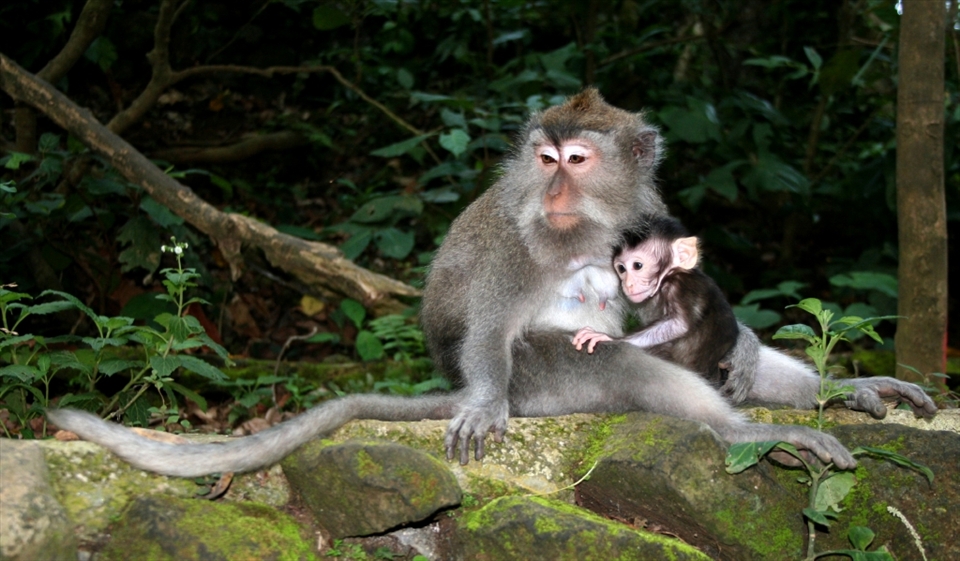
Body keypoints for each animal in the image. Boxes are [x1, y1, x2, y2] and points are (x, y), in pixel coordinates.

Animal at [572, 215, 740, 390]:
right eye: (621, 268)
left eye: (637, 266)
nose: (628, 284)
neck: (669, 275)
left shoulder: (679, 286)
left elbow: (679, 324)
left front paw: (608, 338)